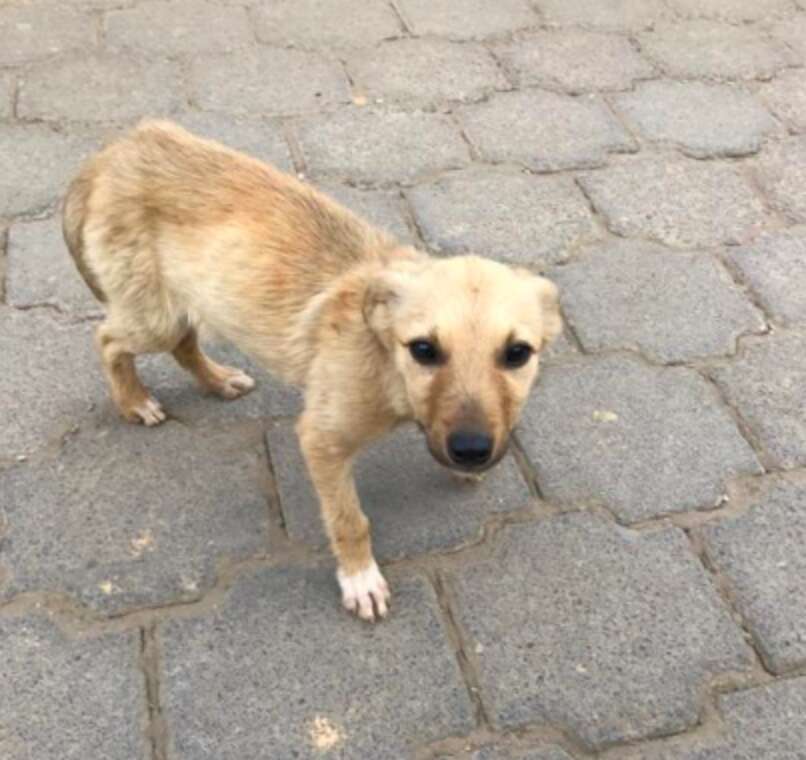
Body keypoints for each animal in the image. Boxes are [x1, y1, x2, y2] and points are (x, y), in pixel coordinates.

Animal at [63, 121, 560, 624]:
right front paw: (360, 577)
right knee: (109, 340)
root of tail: (124, 145)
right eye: (423, 350)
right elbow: (349, 520)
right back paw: (134, 401)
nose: (472, 450)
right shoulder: (322, 440)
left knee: (183, 343)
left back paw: (219, 381)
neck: (384, 362)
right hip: (152, 316)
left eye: (518, 354)